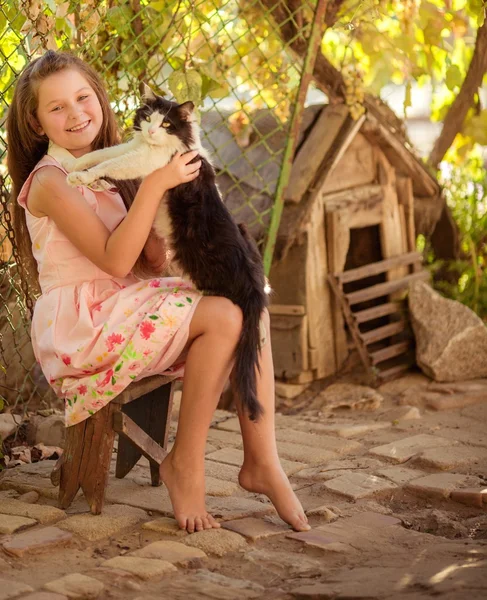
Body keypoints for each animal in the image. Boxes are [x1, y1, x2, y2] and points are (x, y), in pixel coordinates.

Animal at [63, 83, 268, 422]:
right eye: (148, 117)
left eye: (168, 124)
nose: (152, 130)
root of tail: (255, 286)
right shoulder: (132, 148)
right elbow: (100, 153)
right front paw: (71, 165)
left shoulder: (144, 160)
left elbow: (107, 165)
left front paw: (81, 176)